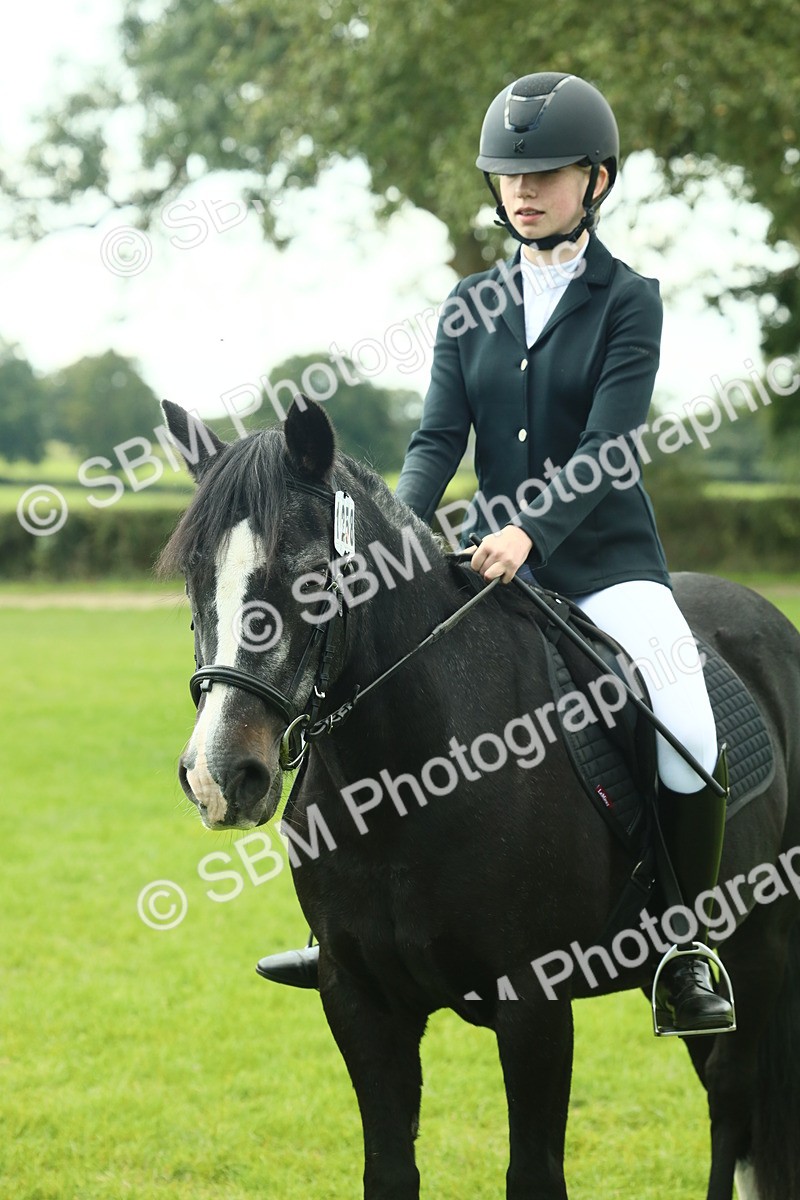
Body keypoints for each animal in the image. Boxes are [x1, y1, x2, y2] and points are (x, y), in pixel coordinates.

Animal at [159, 395, 800, 1200]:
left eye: (309, 576)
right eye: (193, 574)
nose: (217, 776)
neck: (403, 789)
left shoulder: (535, 1004)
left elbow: (533, 1173)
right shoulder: (360, 1001)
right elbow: (389, 1170)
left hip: (759, 944)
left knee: (730, 1099)